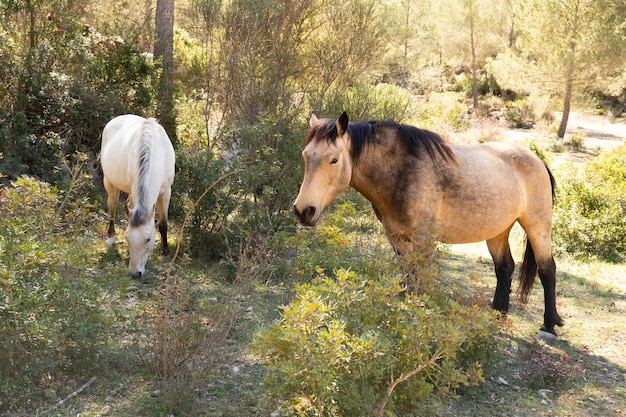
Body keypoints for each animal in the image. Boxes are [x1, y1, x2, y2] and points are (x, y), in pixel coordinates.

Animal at [100, 114, 174, 278]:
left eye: (148, 239)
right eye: (127, 238)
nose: (135, 273)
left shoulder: (166, 192)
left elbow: (163, 224)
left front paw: (165, 251)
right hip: (109, 182)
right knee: (112, 208)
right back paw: (111, 238)